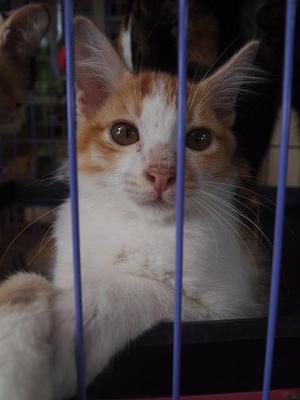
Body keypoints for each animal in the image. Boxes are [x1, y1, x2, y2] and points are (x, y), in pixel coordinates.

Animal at [0, 16, 268, 400]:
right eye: (123, 133)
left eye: (199, 139)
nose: (161, 174)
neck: (134, 225)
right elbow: (26, 285)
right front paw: (16, 342)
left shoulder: (231, 307)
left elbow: (136, 288)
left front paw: (66, 325)